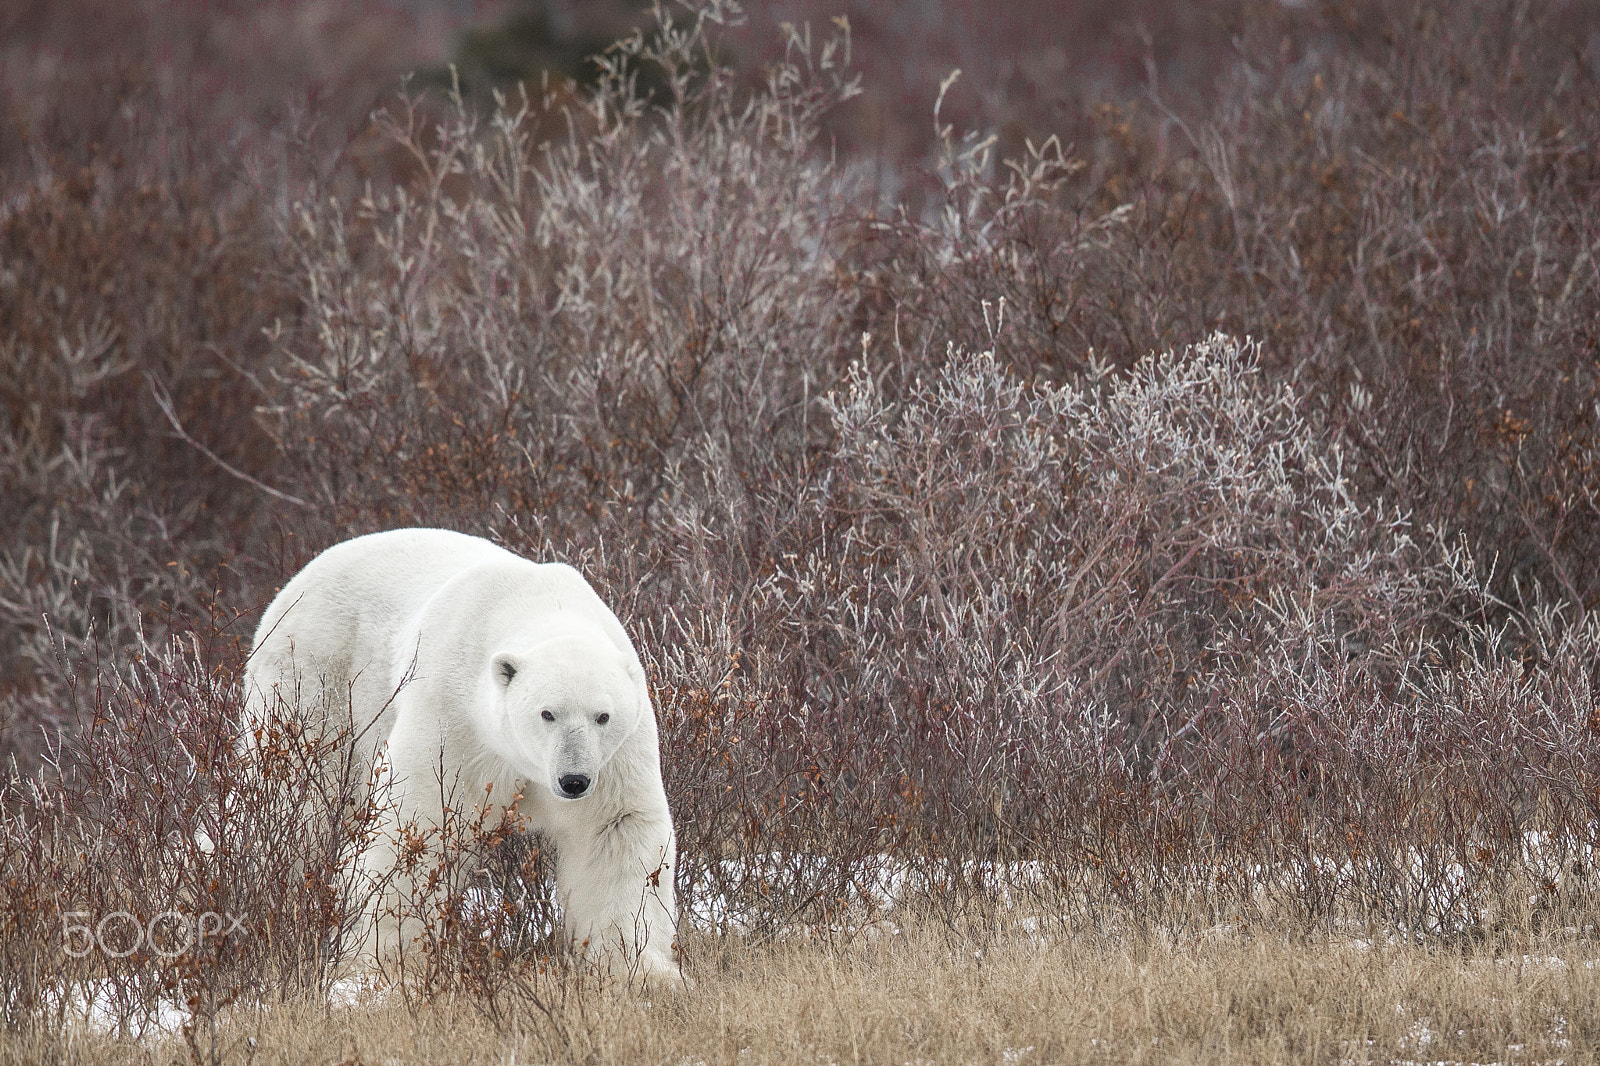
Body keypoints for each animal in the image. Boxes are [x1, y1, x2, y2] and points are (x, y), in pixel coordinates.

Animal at [243, 528, 681, 985]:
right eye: (547, 713)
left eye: (603, 716)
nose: (573, 780)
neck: (534, 602)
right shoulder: (455, 717)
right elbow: (419, 823)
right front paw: (385, 961)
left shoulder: (616, 755)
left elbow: (613, 830)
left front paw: (641, 969)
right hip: (314, 680)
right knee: (295, 796)